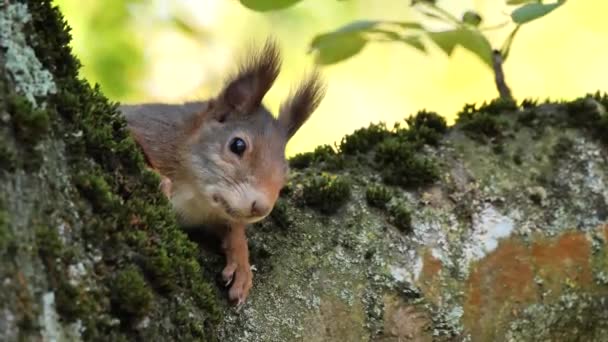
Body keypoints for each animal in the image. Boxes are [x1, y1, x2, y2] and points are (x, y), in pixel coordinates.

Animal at [120, 39, 326, 304]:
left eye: (286, 173)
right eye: (237, 145)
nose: (261, 208)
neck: (194, 192)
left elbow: (232, 227)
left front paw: (241, 261)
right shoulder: (149, 129)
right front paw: (156, 178)